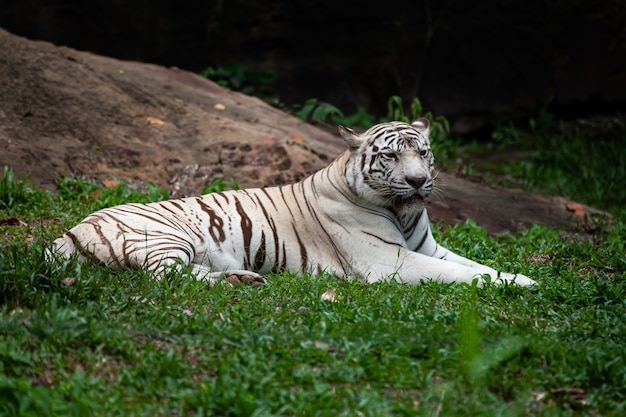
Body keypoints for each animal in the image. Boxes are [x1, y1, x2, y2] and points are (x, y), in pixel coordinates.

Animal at [51, 117, 532, 286]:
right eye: (391, 156)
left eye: (424, 152)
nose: (417, 181)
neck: (402, 211)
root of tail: (71, 230)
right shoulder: (391, 261)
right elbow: (462, 275)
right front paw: (523, 285)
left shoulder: (430, 248)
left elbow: (476, 265)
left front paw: (523, 277)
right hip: (165, 239)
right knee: (168, 276)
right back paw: (239, 281)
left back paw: (243, 277)